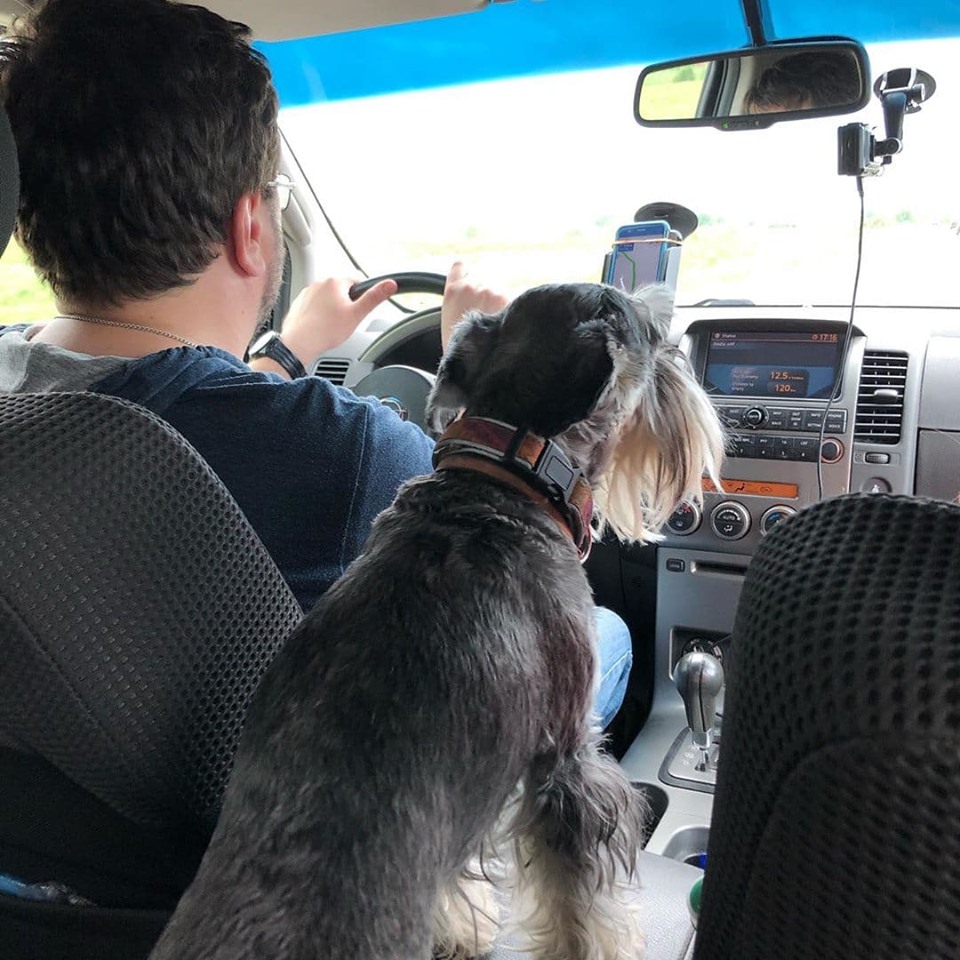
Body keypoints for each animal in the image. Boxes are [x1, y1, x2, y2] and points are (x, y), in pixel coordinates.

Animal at [148, 282, 720, 956]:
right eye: (654, 338)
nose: (685, 366)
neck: (503, 481)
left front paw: (457, 925)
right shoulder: (565, 762)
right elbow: (578, 905)